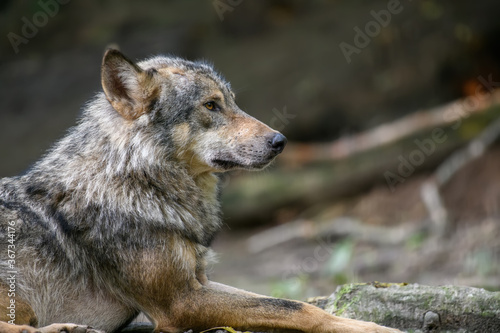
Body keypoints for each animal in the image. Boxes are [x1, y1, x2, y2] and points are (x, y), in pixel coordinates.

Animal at [0, 49, 398, 332]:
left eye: (233, 102)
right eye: (210, 105)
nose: (280, 141)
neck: (138, 180)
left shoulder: (199, 282)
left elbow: (293, 303)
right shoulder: (179, 303)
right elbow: (296, 307)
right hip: (22, 299)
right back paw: (63, 329)